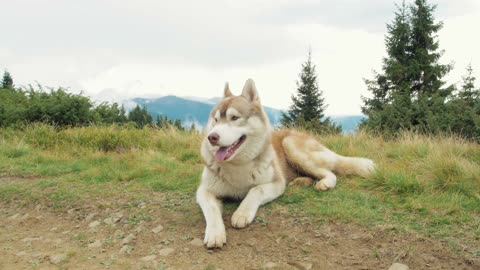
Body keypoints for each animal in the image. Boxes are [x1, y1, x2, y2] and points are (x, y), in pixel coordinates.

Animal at [196, 79, 376, 248]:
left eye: (234, 118)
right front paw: (215, 233)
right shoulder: (204, 191)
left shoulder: (276, 183)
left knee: (329, 172)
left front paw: (242, 212)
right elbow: (211, 209)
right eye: (216, 120)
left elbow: (256, 190)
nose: (212, 137)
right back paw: (301, 181)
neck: (238, 165)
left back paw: (324, 183)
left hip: (291, 145)